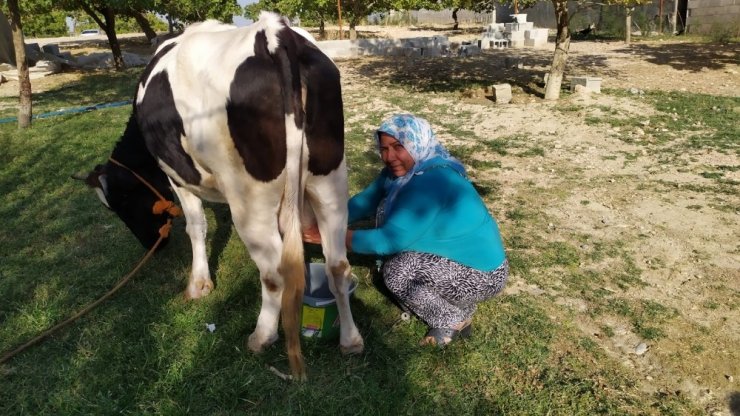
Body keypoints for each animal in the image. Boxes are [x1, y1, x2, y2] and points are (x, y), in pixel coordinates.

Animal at [76, 11, 364, 380]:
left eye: (121, 205)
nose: (151, 245)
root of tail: (272, 32)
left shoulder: (178, 178)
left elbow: (196, 227)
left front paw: (199, 284)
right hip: (330, 181)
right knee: (338, 265)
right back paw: (350, 340)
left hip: (249, 198)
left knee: (273, 273)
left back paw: (262, 335)